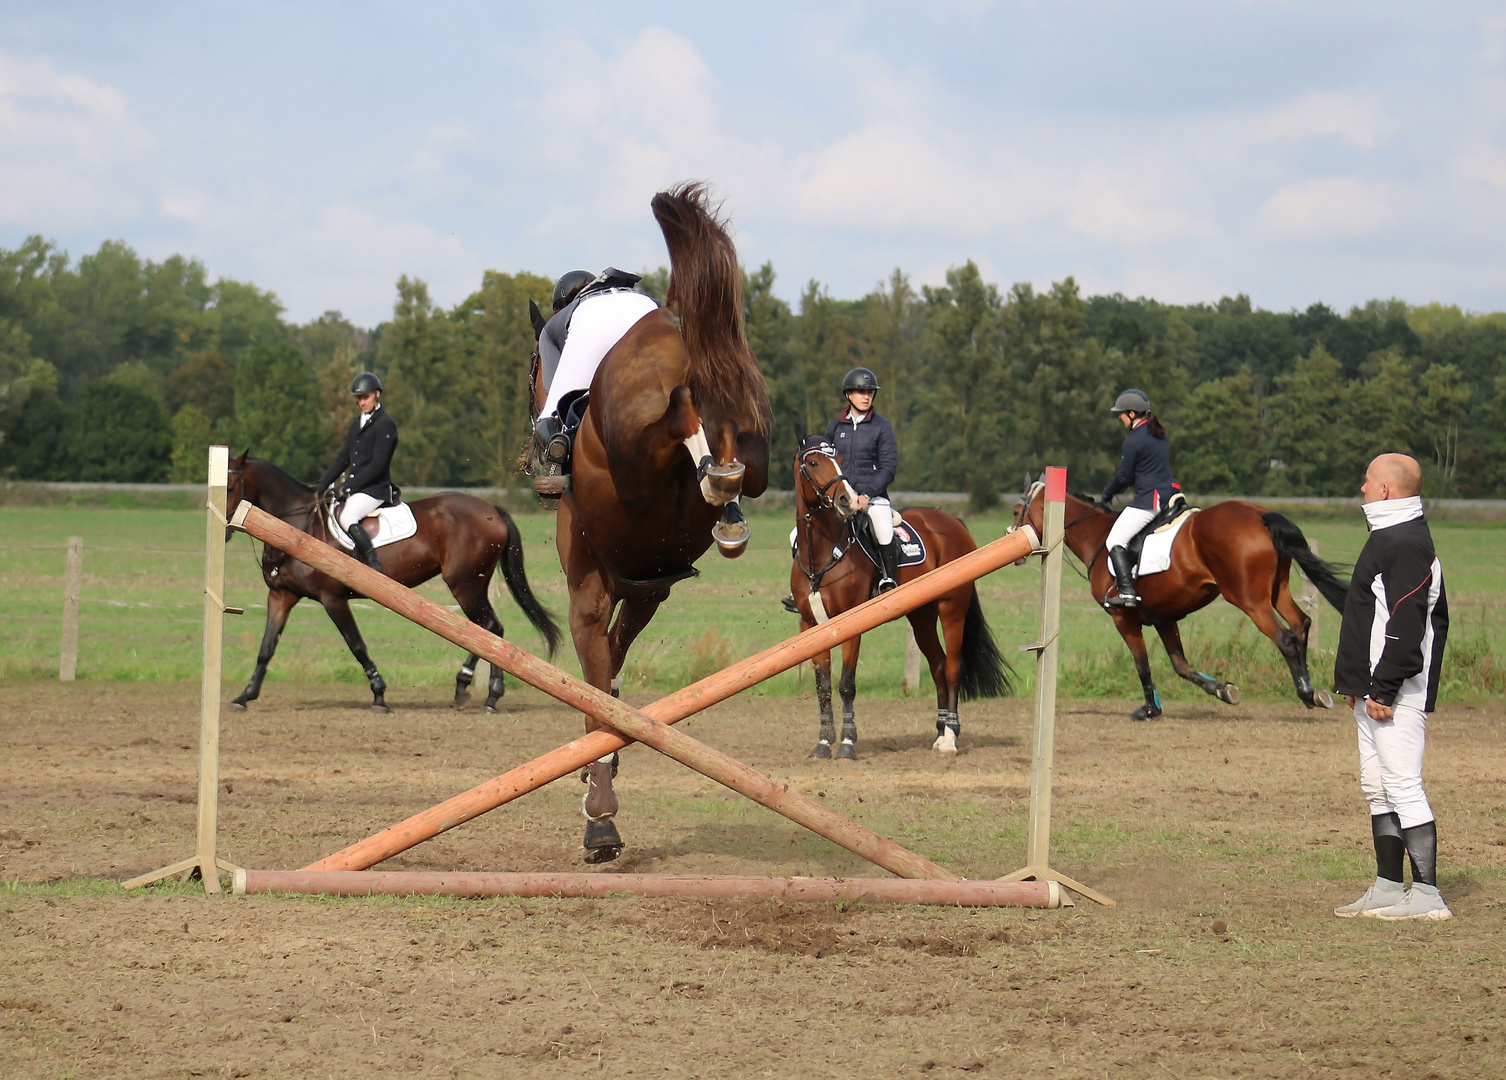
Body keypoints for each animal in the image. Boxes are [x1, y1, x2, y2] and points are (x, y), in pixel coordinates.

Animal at [228, 454, 566, 716]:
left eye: (231, 486)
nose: (228, 527)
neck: (296, 528)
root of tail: (492, 509)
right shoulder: (281, 596)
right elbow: (266, 648)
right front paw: (244, 696)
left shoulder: (332, 598)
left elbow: (357, 646)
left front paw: (379, 695)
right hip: (472, 585)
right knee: (487, 631)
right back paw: (473, 690)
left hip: (465, 585)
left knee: (490, 630)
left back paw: (485, 693)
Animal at [530, 183, 771, 861]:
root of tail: (676, 333)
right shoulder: (647, 584)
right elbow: (610, 665)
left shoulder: (590, 588)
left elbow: (596, 677)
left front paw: (599, 813)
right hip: (756, 440)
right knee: (726, 437)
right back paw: (727, 495)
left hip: (637, 446)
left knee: (682, 415)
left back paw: (713, 471)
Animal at [789, 430, 1012, 759]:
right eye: (814, 462)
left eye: (838, 458)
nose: (846, 500)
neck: (821, 553)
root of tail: (953, 522)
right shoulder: (811, 626)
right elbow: (823, 686)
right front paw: (823, 742)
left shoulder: (850, 625)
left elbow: (846, 684)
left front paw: (847, 743)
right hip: (921, 616)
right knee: (938, 666)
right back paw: (940, 730)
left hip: (951, 609)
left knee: (953, 667)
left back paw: (950, 737)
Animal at [1012, 478, 1355, 716]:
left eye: (1017, 511)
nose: (1013, 540)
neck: (1097, 537)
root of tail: (1259, 515)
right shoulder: (1164, 617)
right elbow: (1180, 665)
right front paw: (1222, 689)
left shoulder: (1123, 617)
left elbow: (1142, 664)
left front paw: (1150, 710)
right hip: (1276, 591)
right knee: (1301, 624)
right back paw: (1312, 692)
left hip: (1249, 599)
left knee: (1284, 637)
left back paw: (1306, 691)